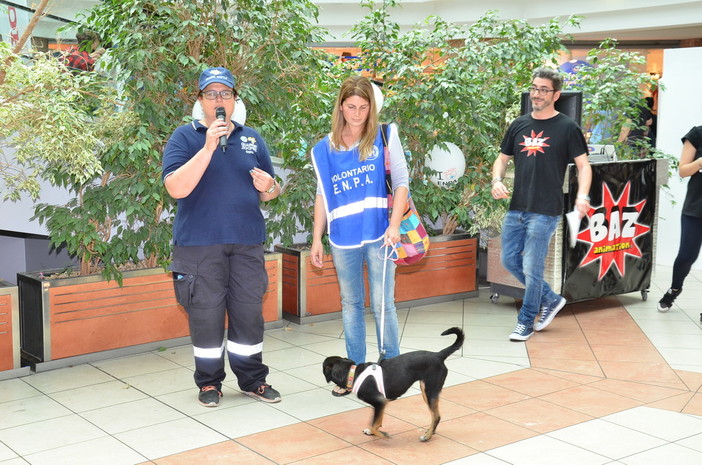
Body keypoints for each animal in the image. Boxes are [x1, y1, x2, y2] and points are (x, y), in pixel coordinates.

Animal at [322, 324, 464, 440]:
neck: (354, 374)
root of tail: (438, 355)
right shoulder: (381, 404)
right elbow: (377, 421)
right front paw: (373, 432)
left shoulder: (379, 401)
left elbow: (374, 424)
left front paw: (382, 435)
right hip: (425, 390)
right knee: (434, 416)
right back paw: (430, 431)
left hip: (430, 391)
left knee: (437, 416)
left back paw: (427, 436)